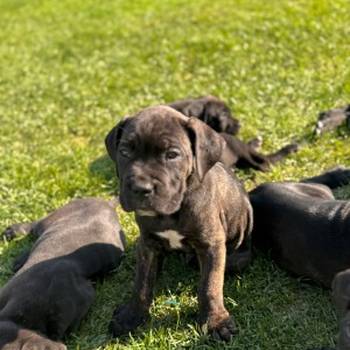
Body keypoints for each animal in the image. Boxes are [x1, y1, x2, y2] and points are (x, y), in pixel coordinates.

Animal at [105, 106, 253, 342]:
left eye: (172, 155)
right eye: (125, 152)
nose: (140, 188)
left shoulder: (211, 245)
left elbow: (210, 285)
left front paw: (216, 322)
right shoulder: (147, 243)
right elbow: (142, 283)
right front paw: (132, 315)